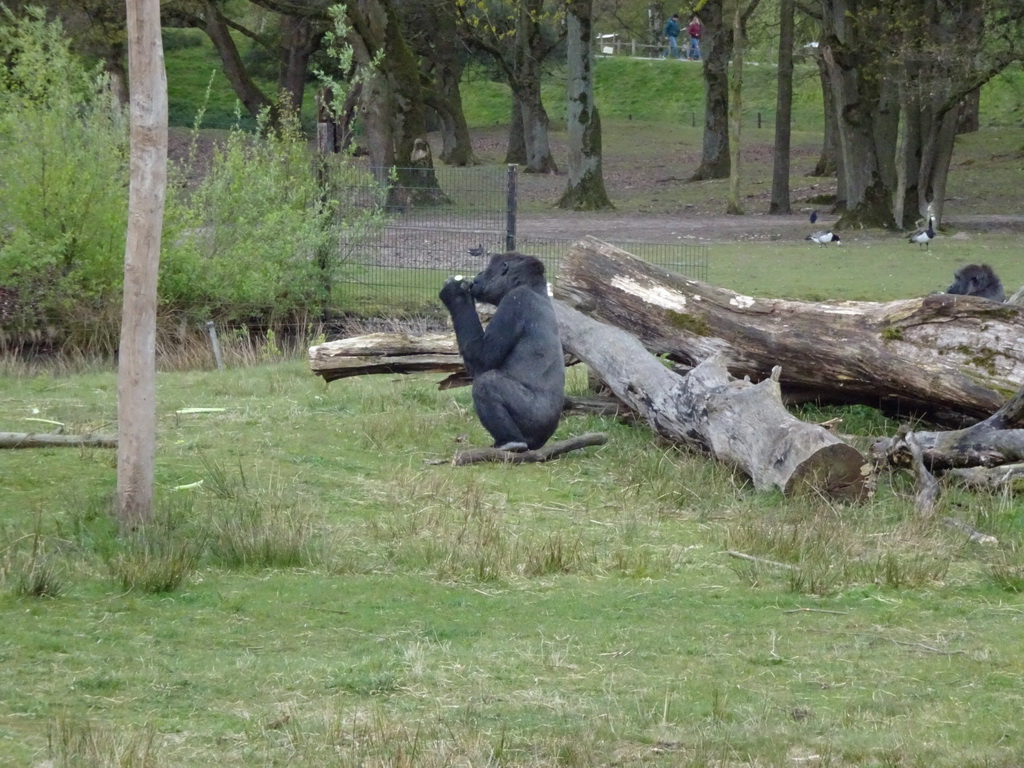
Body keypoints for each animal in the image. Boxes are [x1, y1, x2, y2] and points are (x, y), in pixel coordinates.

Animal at [440, 256, 569, 454]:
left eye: (487, 268)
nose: (478, 273)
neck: (534, 288)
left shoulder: (515, 301)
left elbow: (482, 360)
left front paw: (455, 294)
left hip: (535, 419)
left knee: (487, 383)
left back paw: (512, 442)